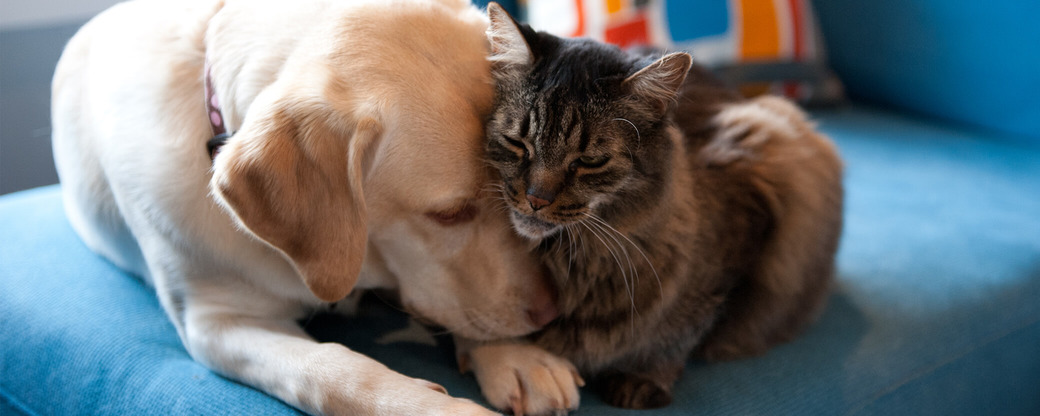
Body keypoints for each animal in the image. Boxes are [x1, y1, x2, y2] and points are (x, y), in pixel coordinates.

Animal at [51, 0, 557, 411]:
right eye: (449, 214)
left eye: (512, 194)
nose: (549, 315)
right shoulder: (216, 324)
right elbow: (332, 371)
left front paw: (514, 356)